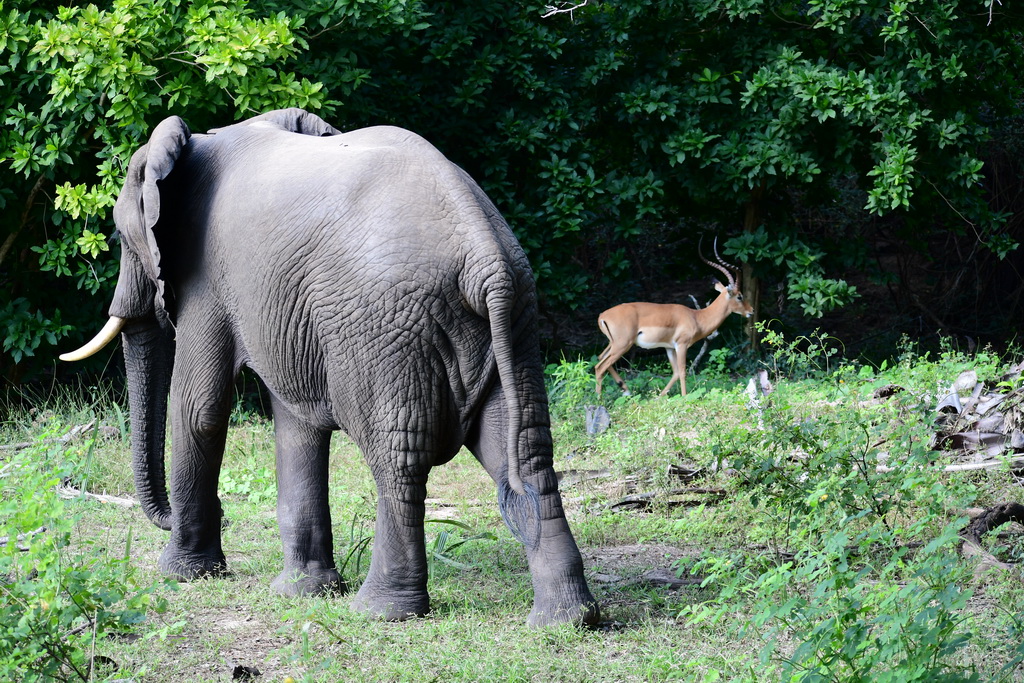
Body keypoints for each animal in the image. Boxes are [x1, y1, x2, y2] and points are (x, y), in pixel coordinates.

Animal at [64, 108, 598, 630]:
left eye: (120, 236)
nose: (167, 518)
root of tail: (485, 256)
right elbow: (295, 423)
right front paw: (303, 591)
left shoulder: (208, 282)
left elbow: (199, 409)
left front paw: (181, 575)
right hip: (512, 325)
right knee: (524, 451)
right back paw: (565, 619)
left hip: (386, 331)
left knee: (399, 461)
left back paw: (381, 612)